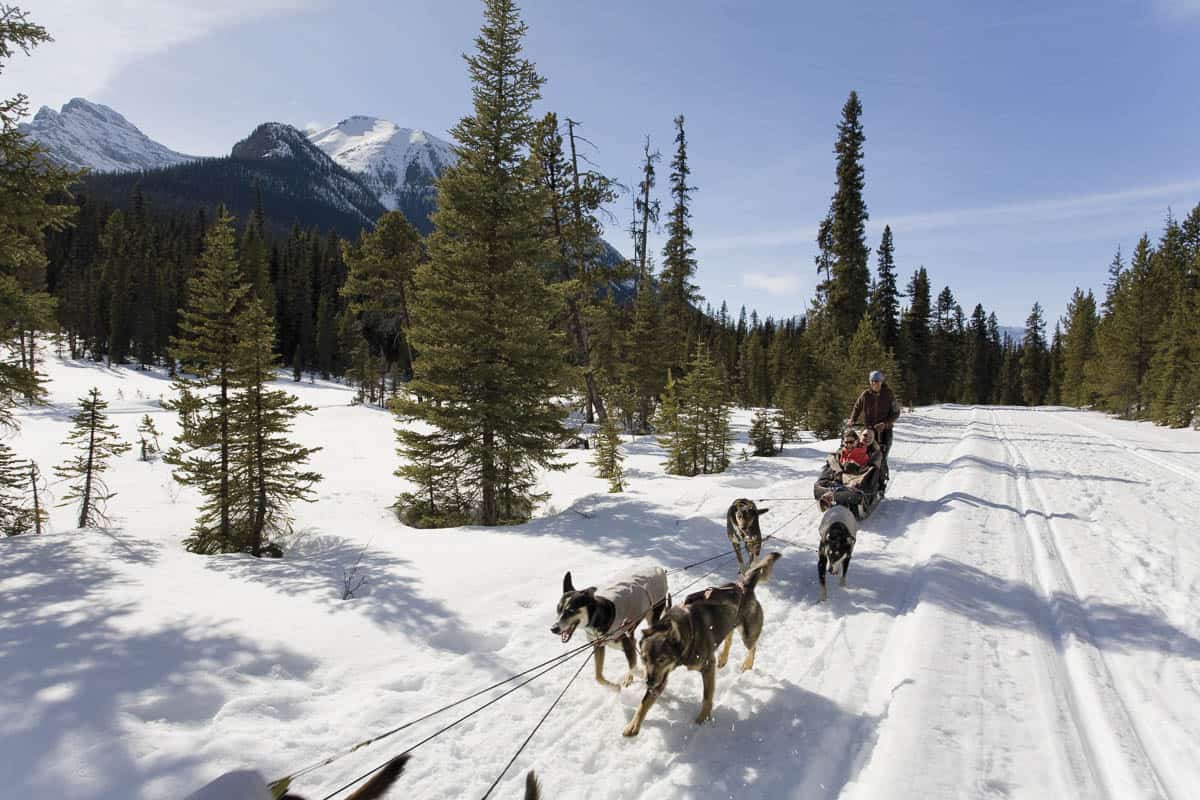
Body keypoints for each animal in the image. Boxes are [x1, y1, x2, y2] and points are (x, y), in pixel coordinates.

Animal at [624, 551, 782, 738]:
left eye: (662, 659)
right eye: (644, 659)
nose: (648, 682)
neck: (687, 632)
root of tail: (744, 586)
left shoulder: (706, 667)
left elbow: (707, 697)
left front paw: (703, 718)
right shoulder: (661, 677)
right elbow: (645, 701)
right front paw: (633, 724)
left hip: (748, 635)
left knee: (753, 646)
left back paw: (747, 664)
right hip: (729, 623)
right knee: (729, 636)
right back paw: (723, 657)